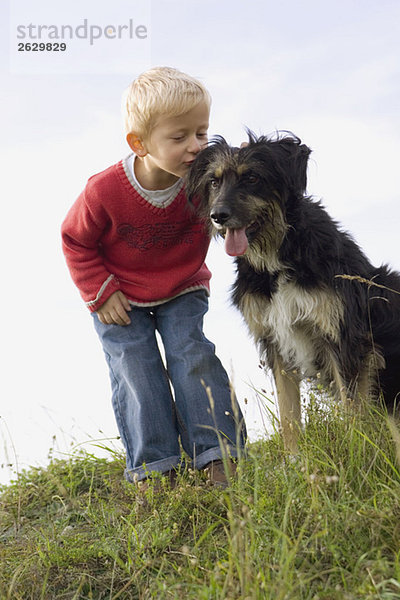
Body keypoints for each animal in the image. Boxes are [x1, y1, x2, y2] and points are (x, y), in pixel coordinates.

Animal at [186, 131, 400, 450]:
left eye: (252, 177)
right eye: (214, 181)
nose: (218, 215)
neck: (278, 257)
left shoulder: (343, 337)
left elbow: (353, 412)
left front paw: (355, 454)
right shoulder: (277, 342)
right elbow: (289, 417)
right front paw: (295, 460)